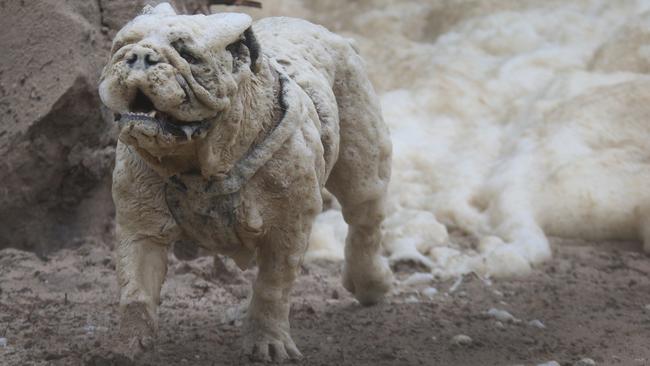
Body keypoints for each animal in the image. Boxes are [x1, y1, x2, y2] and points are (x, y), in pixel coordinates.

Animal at [97, 2, 390, 364]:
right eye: (122, 46)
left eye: (188, 55)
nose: (139, 55)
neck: (201, 162)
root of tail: (333, 36)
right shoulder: (142, 229)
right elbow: (136, 289)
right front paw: (130, 344)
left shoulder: (287, 232)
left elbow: (272, 288)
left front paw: (268, 342)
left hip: (360, 161)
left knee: (364, 217)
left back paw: (371, 283)